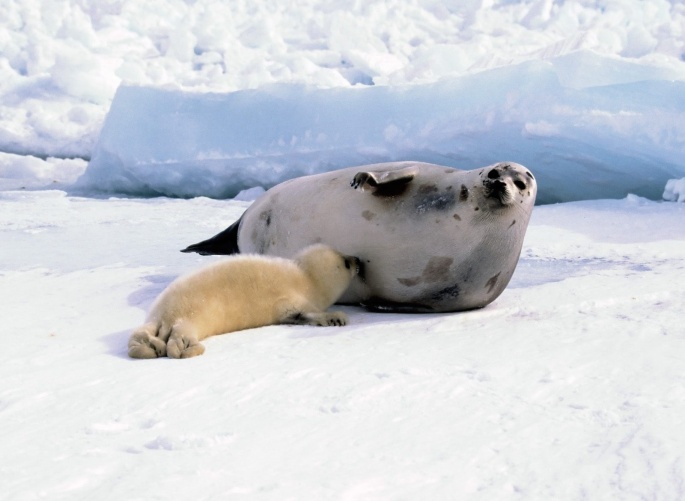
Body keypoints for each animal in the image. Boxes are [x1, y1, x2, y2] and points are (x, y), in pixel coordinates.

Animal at [128, 244, 361, 359]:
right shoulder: (293, 301)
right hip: (187, 321)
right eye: (346, 263)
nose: (358, 259)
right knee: (179, 340)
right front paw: (337, 318)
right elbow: (308, 312)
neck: (306, 278)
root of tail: (163, 320)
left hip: (156, 318)